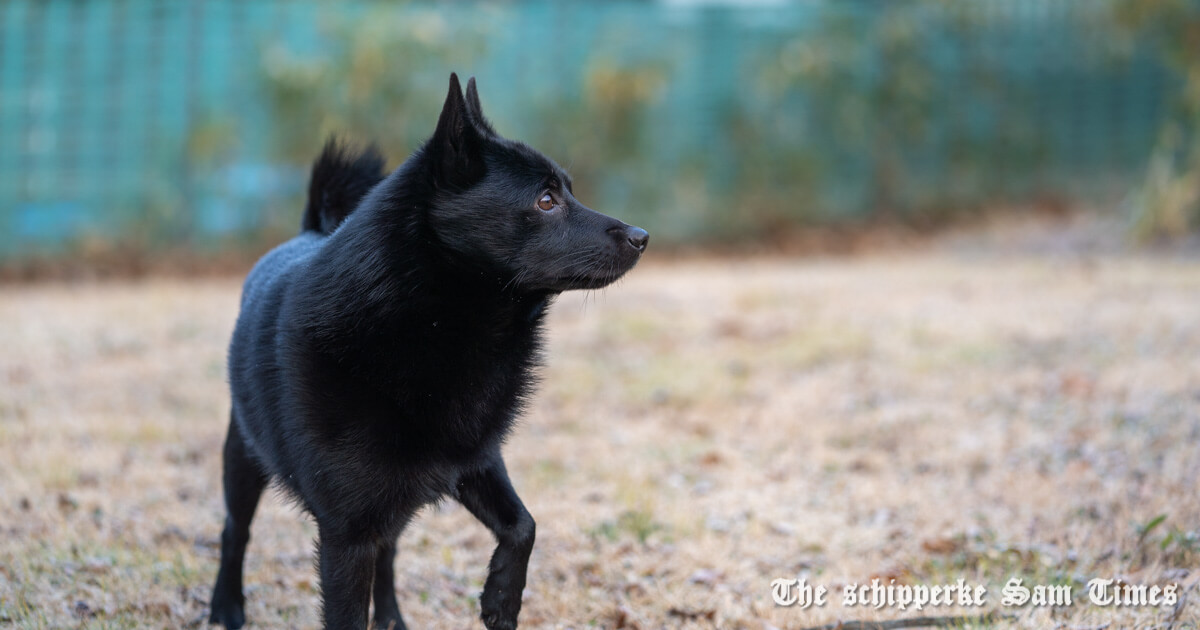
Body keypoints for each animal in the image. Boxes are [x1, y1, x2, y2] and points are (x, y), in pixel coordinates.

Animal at [208, 72, 648, 624]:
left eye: (567, 189)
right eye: (546, 200)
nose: (642, 236)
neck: (432, 323)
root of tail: (310, 229)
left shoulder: (473, 460)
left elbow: (524, 525)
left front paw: (500, 598)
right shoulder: (346, 531)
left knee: (389, 553)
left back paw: (392, 619)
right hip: (243, 456)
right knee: (235, 530)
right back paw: (226, 605)